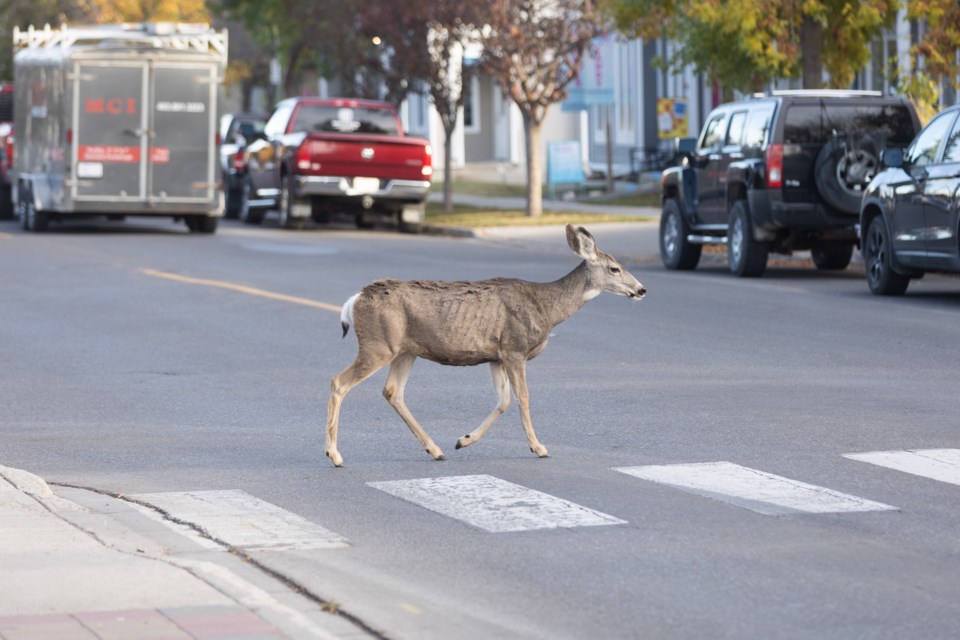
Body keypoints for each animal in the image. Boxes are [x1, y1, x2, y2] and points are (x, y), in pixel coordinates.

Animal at [322, 225, 644, 464]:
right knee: (339, 382)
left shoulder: (496, 356)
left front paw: (463, 440)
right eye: (615, 268)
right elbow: (523, 398)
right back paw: (334, 454)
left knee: (392, 392)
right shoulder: (515, 348)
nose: (641, 289)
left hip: (405, 351)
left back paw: (435, 449)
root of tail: (356, 299)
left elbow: (503, 401)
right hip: (378, 345)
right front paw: (539, 447)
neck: (547, 308)